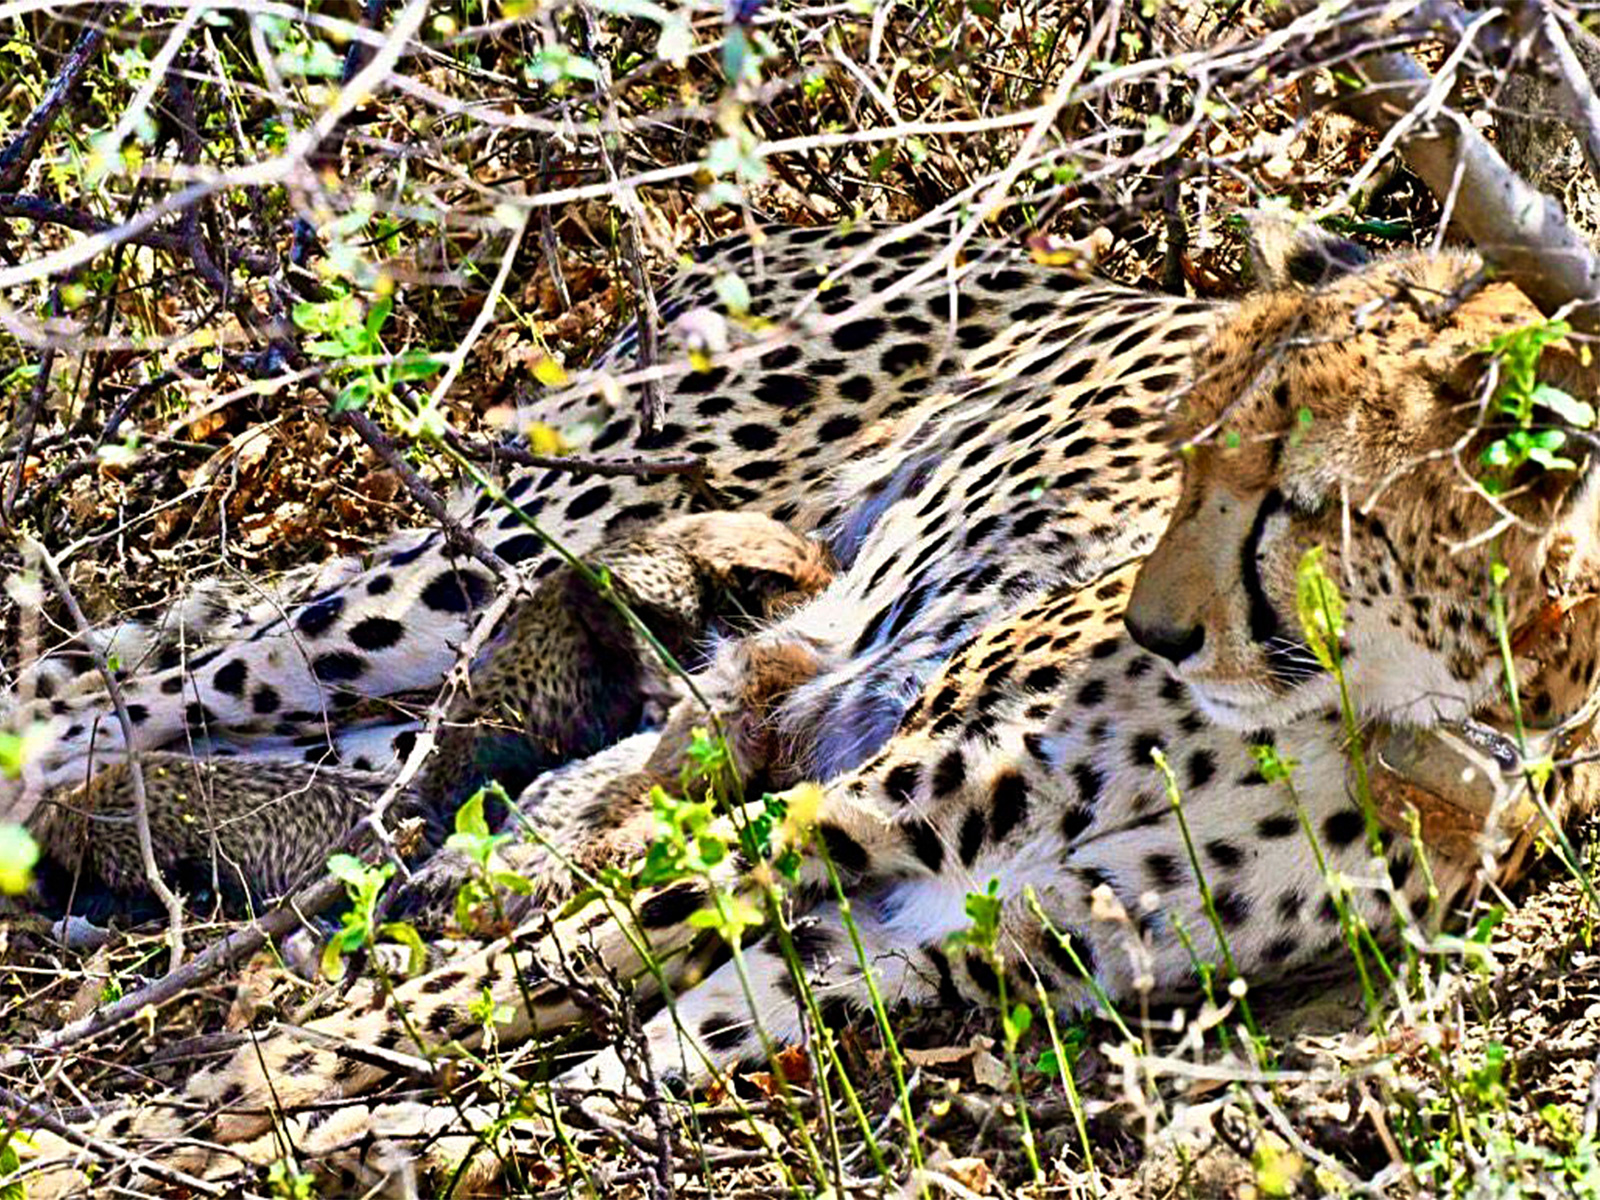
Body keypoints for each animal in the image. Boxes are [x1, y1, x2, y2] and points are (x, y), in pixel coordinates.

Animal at [13, 217, 1600, 1196]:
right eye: (1180, 456)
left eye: (1289, 496)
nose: (1157, 624)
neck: (1388, 708)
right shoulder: (849, 811)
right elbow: (475, 993)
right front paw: (184, 1119)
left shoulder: (945, 936)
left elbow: (624, 1049)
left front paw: (390, 1138)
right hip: (511, 547)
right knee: (122, 686)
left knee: (366, 772)